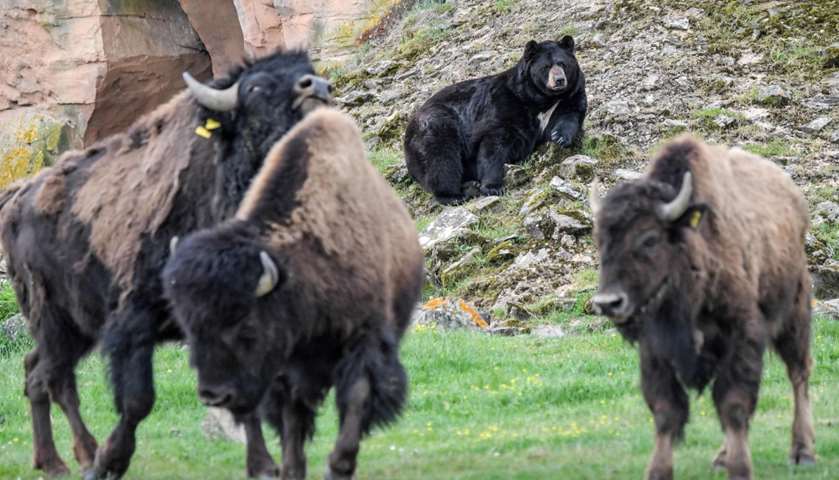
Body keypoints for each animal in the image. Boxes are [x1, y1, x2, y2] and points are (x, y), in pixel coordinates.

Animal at [404, 36, 587, 205]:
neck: (540, 98)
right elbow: (495, 143)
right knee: (441, 157)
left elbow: (570, 114)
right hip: (436, 126)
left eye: (562, 64)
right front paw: (493, 186)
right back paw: (452, 195)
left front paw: (560, 137)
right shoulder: (503, 103)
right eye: (546, 66)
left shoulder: (570, 94)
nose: (559, 80)